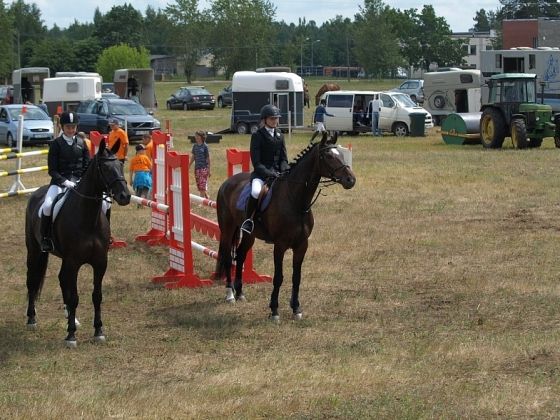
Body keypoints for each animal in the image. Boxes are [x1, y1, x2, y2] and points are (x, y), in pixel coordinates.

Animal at [24, 141, 130, 348]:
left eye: (121, 165)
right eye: (105, 167)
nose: (125, 196)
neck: (88, 218)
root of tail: (36, 193)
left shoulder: (100, 262)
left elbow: (97, 296)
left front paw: (98, 332)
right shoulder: (74, 262)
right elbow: (74, 298)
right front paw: (71, 336)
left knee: (61, 279)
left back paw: (70, 319)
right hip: (34, 250)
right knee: (32, 280)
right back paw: (32, 320)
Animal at [214, 133, 354, 324]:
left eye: (340, 153)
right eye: (329, 156)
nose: (351, 180)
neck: (296, 200)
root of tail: (227, 183)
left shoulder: (302, 245)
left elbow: (297, 277)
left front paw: (296, 309)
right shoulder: (280, 245)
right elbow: (278, 277)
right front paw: (274, 311)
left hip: (250, 235)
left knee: (241, 255)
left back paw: (240, 293)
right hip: (227, 230)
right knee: (229, 259)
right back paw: (230, 295)